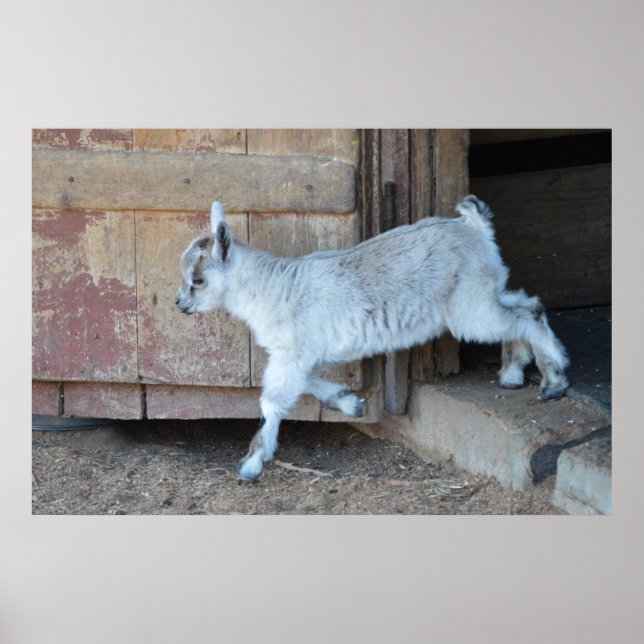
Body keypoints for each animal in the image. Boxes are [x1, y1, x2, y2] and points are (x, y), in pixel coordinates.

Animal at [176, 196, 569, 480]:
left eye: (197, 280)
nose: (179, 303)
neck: (271, 289)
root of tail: (473, 226)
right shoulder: (303, 354)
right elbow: (311, 383)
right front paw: (350, 403)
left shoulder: (292, 353)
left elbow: (272, 402)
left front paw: (251, 464)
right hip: (483, 292)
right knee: (525, 304)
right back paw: (514, 373)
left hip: (469, 307)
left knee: (525, 315)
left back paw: (555, 379)